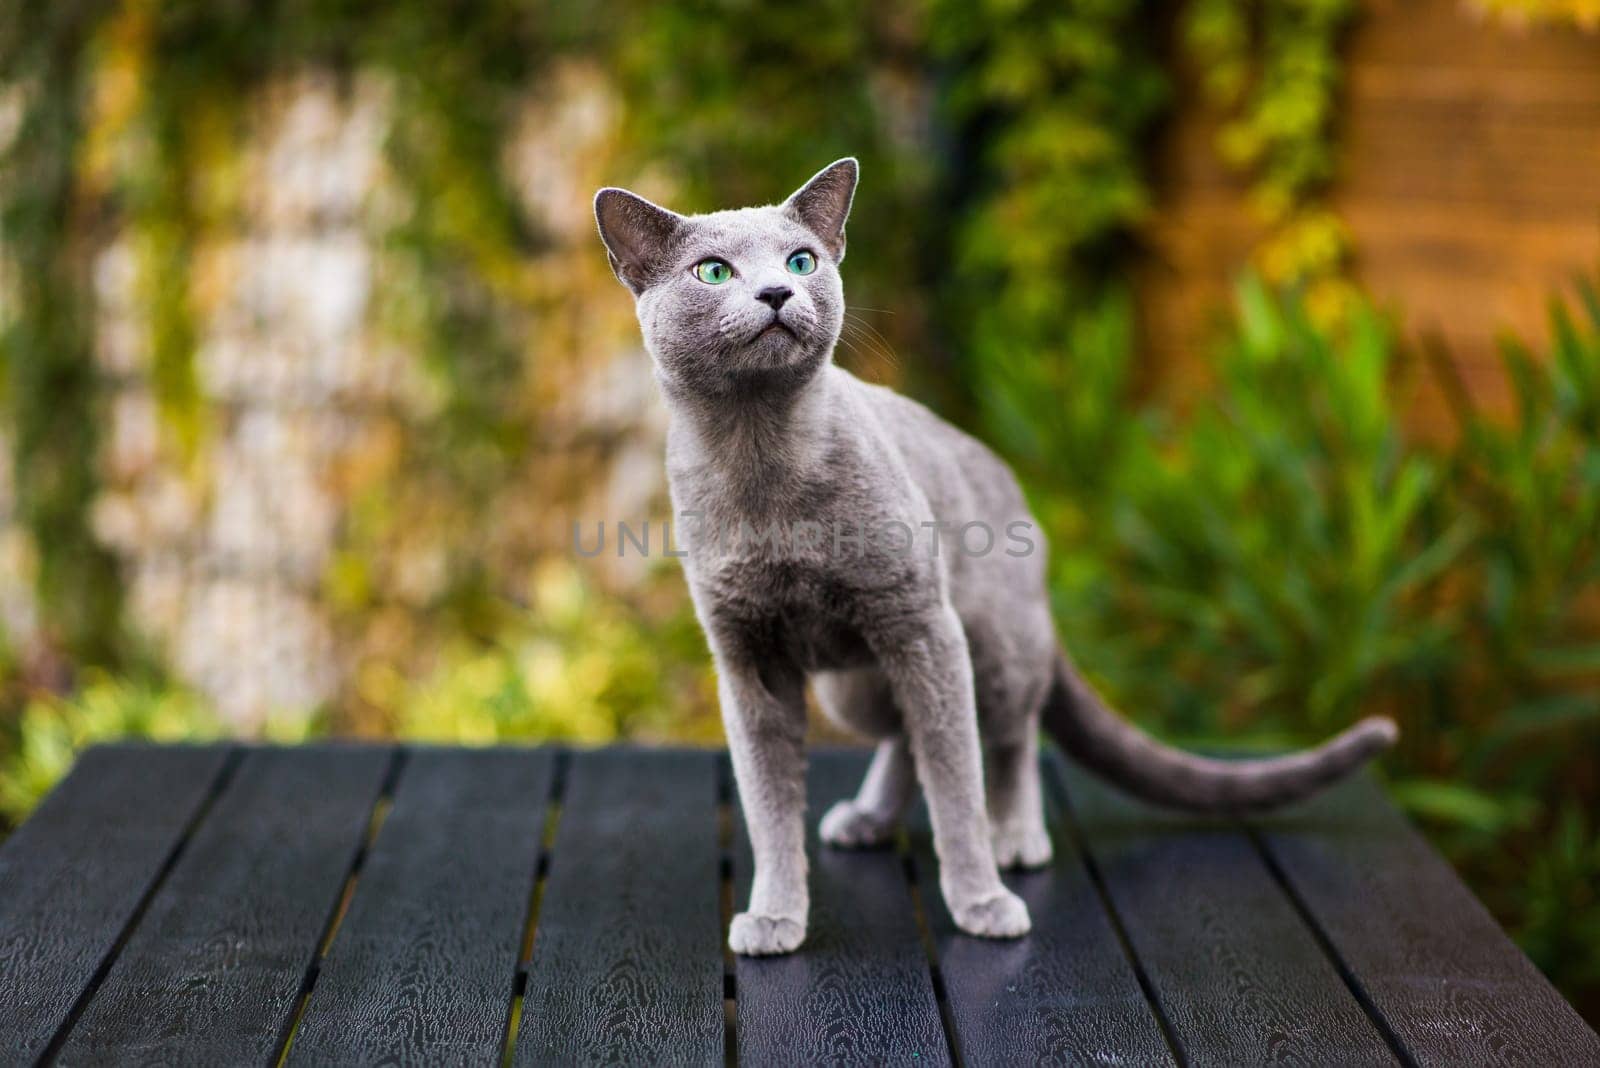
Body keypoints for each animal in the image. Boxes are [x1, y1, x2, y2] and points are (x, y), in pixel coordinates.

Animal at [595, 156, 1395, 952]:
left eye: (801, 261)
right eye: (713, 272)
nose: (776, 291)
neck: (762, 461)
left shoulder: (922, 624)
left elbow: (957, 782)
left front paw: (981, 900)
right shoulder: (748, 658)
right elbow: (768, 806)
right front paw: (774, 916)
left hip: (993, 646)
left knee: (1008, 737)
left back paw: (1015, 837)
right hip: (852, 685)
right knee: (903, 733)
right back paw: (869, 819)